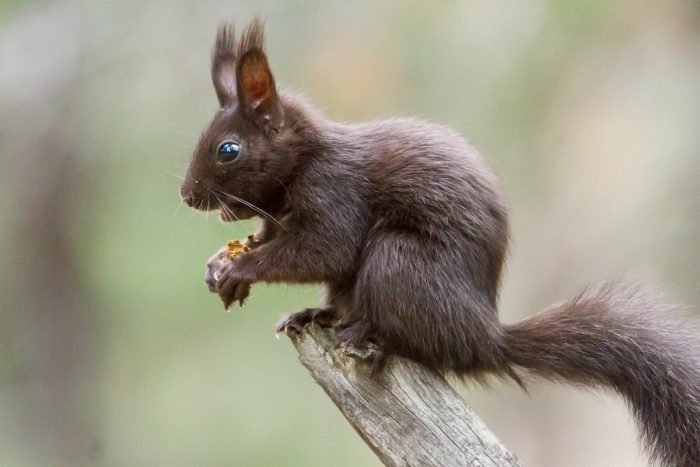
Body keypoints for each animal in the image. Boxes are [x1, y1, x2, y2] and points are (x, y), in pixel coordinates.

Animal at [180, 18, 700, 466]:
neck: (307, 159)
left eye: (228, 150)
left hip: (399, 260)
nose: (186, 195)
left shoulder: (335, 194)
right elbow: (273, 242)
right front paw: (219, 266)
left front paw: (239, 269)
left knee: (411, 338)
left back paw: (367, 333)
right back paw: (315, 315)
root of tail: (484, 336)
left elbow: (325, 249)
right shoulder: (277, 220)